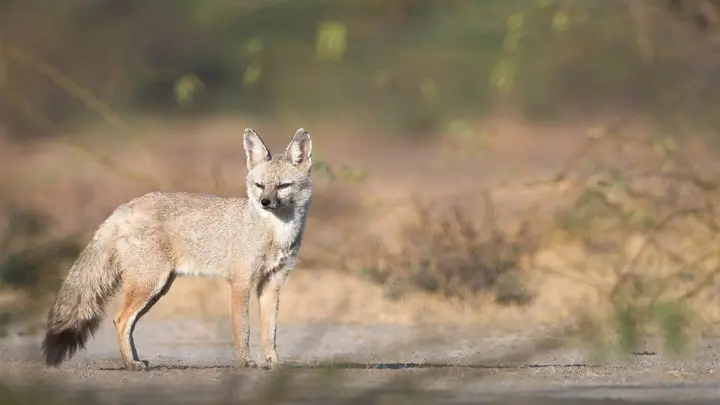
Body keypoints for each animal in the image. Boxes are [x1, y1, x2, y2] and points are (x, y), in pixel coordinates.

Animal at [41, 127, 313, 371]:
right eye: (259, 185)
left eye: (283, 186)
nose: (265, 202)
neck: (277, 233)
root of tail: (124, 207)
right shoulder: (240, 284)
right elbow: (243, 329)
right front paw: (246, 363)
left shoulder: (273, 284)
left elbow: (270, 332)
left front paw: (274, 363)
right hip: (149, 285)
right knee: (120, 320)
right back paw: (131, 364)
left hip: (157, 289)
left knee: (128, 324)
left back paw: (136, 360)